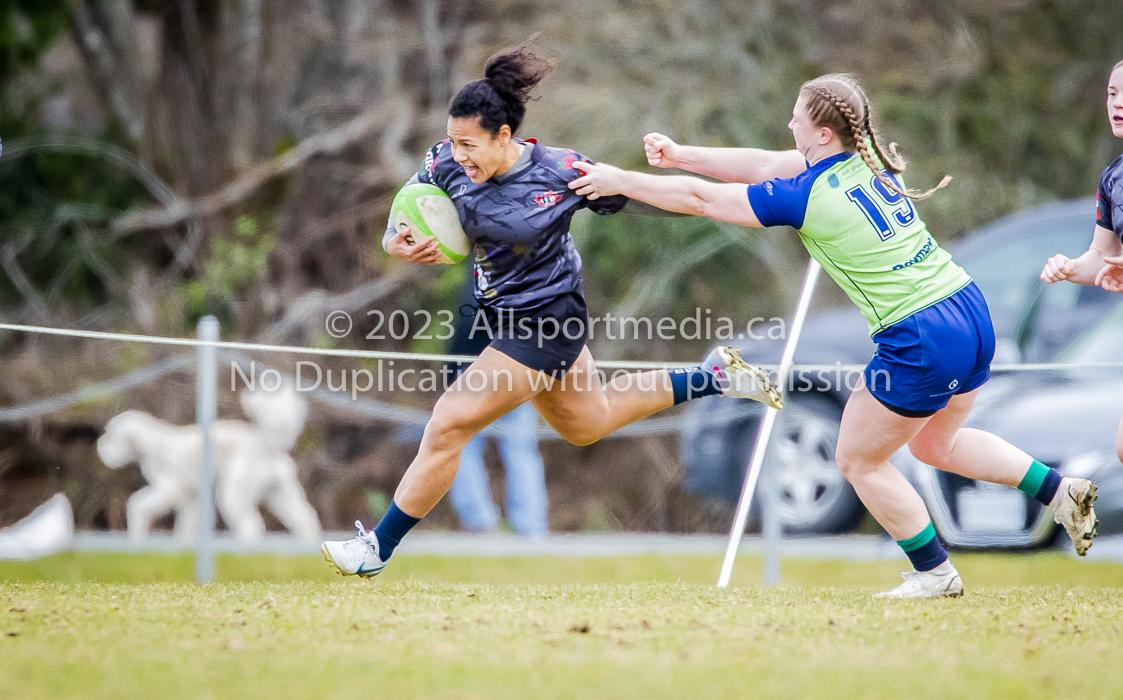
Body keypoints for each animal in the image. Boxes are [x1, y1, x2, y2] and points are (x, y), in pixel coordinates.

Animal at [96, 384, 321, 541]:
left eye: (112, 437)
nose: (100, 447)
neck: (155, 443)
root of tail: (267, 445)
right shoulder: (192, 496)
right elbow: (187, 524)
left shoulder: (172, 489)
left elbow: (138, 505)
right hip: (279, 492)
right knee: (304, 520)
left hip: (233, 491)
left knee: (251, 525)